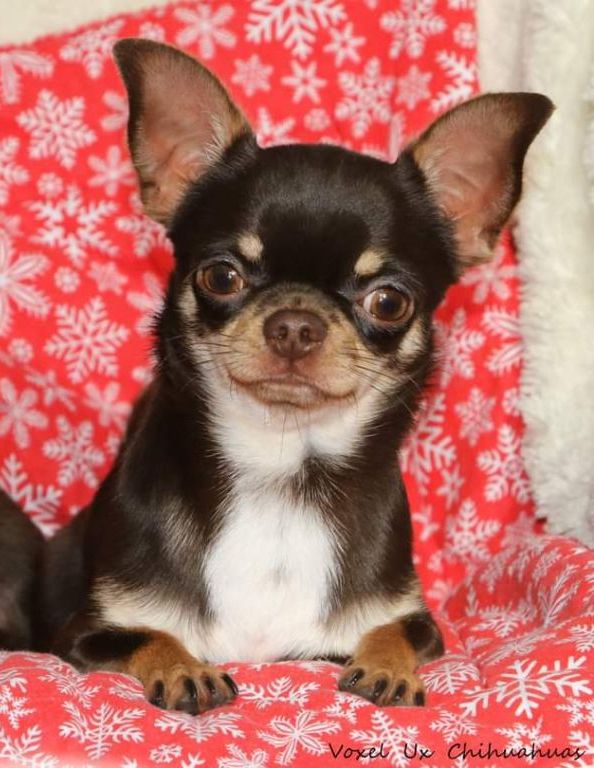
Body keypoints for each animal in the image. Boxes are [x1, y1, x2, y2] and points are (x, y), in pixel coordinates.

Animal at [0, 39, 552, 716]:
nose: (295, 323)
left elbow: (392, 631)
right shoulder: (88, 633)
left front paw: (387, 667)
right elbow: (153, 636)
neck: (280, 472)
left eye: (389, 302)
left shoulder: (411, 621)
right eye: (221, 276)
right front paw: (185, 668)